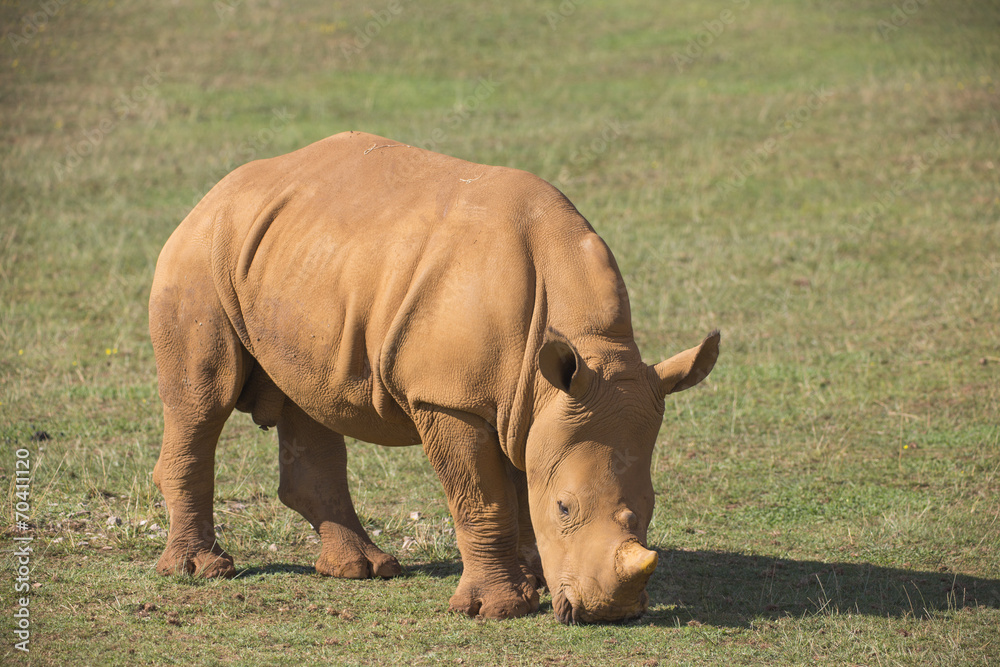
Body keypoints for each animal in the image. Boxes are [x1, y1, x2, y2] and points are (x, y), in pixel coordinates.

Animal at [149, 131, 719, 623]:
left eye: (652, 506)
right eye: (565, 507)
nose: (610, 614)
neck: (592, 344)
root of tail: (216, 190)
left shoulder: (530, 398)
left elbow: (522, 482)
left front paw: (534, 581)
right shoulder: (449, 399)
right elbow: (484, 498)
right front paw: (498, 608)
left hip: (296, 259)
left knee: (310, 396)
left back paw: (363, 570)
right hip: (199, 254)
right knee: (204, 399)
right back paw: (201, 571)